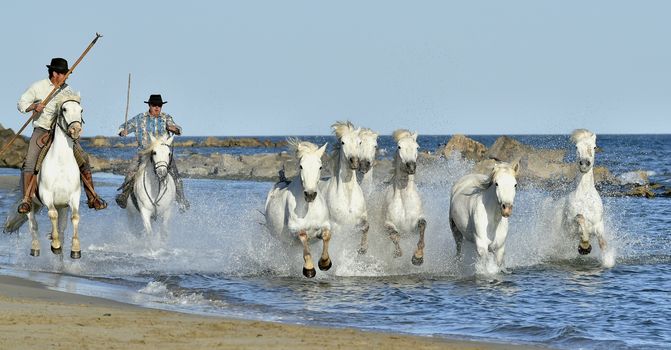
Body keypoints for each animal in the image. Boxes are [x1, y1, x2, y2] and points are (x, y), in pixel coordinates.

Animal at [266, 138, 334, 278]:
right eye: (301, 166)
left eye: (320, 167)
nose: (310, 194)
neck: (309, 208)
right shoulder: (295, 230)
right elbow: (305, 242)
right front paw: (309, 269)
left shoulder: (324, 226)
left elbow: (326, 236)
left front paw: (324, 263)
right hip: (285, 242)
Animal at [318, 121, 370, 256]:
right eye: (342, 142)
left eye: (360, 142)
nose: (355, 161)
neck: (348, 195)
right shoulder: (336, 226)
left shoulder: (361, 216)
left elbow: (366, 226)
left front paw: (363, 248)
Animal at [384, 131, 426, 266]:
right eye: (399, 147)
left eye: (417, 147)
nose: (411, 166)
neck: (404, 201)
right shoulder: (387, 223)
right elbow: (394, 234)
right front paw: (397, 253)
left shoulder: (415, 224)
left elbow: (422, 226)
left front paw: (418, 257)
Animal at [560, 130, 612, 264]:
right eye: (576, 147)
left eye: (594, 147)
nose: (584, 164)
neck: (585, 197)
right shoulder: (571, 226)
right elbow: (580, 218)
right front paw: (584, 247)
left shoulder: (598, 225)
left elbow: (603, 243)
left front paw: (607, 259)